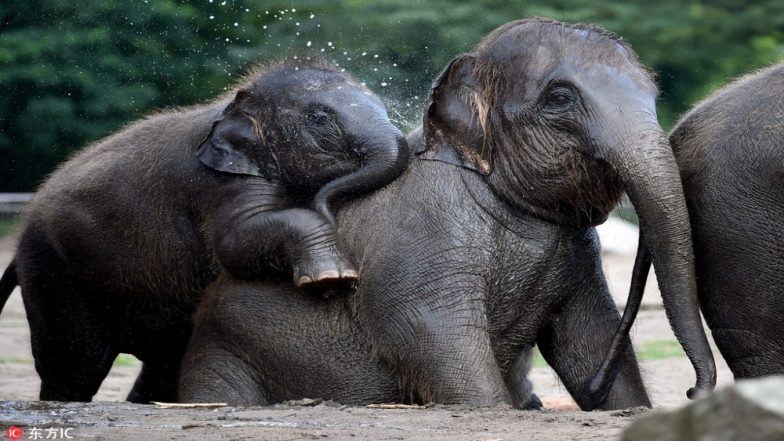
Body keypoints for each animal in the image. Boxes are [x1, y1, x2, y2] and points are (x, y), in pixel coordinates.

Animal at [0, 60, 409, 403]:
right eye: (319, 118)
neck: (237, 102)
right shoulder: (216, 180)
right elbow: (236, 245)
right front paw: (330, 279)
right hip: (53, 274)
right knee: (74, 366)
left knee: (163, 361)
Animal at [177, 18, 716, 410]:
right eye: (560, 98)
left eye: (653, 95)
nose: (693, 391)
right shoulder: (426, 228)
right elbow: (425, 327)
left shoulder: (577, 256)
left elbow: (587, 331)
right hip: (225, 349)